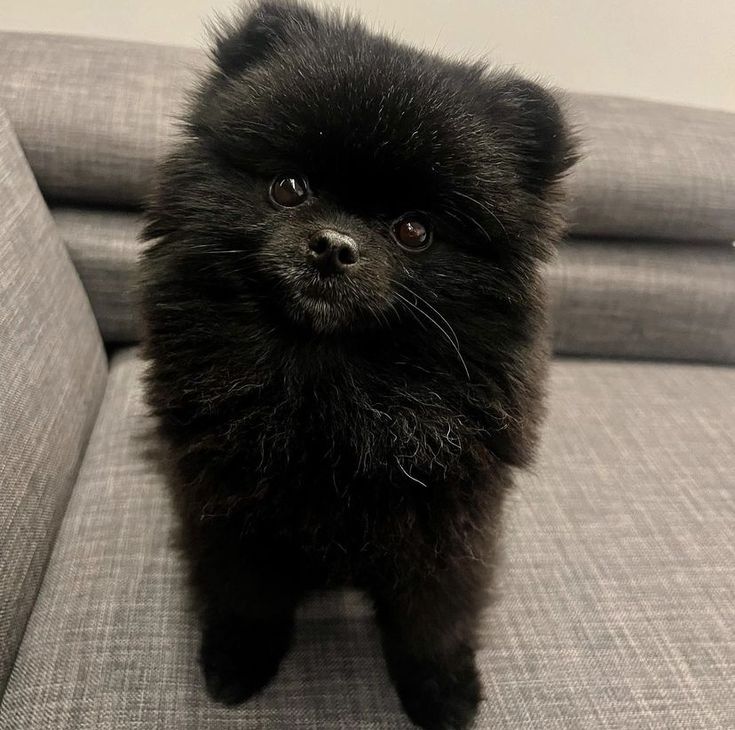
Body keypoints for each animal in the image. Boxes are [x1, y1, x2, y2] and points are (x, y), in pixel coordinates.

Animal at [138, 2, 576, 724]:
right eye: (289, 188)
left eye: (413, 231)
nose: (334, 245)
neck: (327, 380)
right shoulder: (228, 508)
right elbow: (245, 596)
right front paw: (238, 662)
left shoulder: (444, 526)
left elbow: (433, 621)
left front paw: (441, 692)